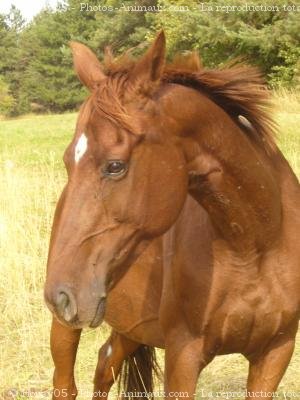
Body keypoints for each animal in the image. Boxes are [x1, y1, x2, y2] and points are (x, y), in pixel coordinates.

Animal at [44, 32, 300, 400]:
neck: (254, 244)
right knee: (66, 383)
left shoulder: (276, 352)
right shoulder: (184, 355)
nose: (60, 295)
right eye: (68, 161)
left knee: (105, 365)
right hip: (66, 329)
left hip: (130, 327)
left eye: (115, 166)